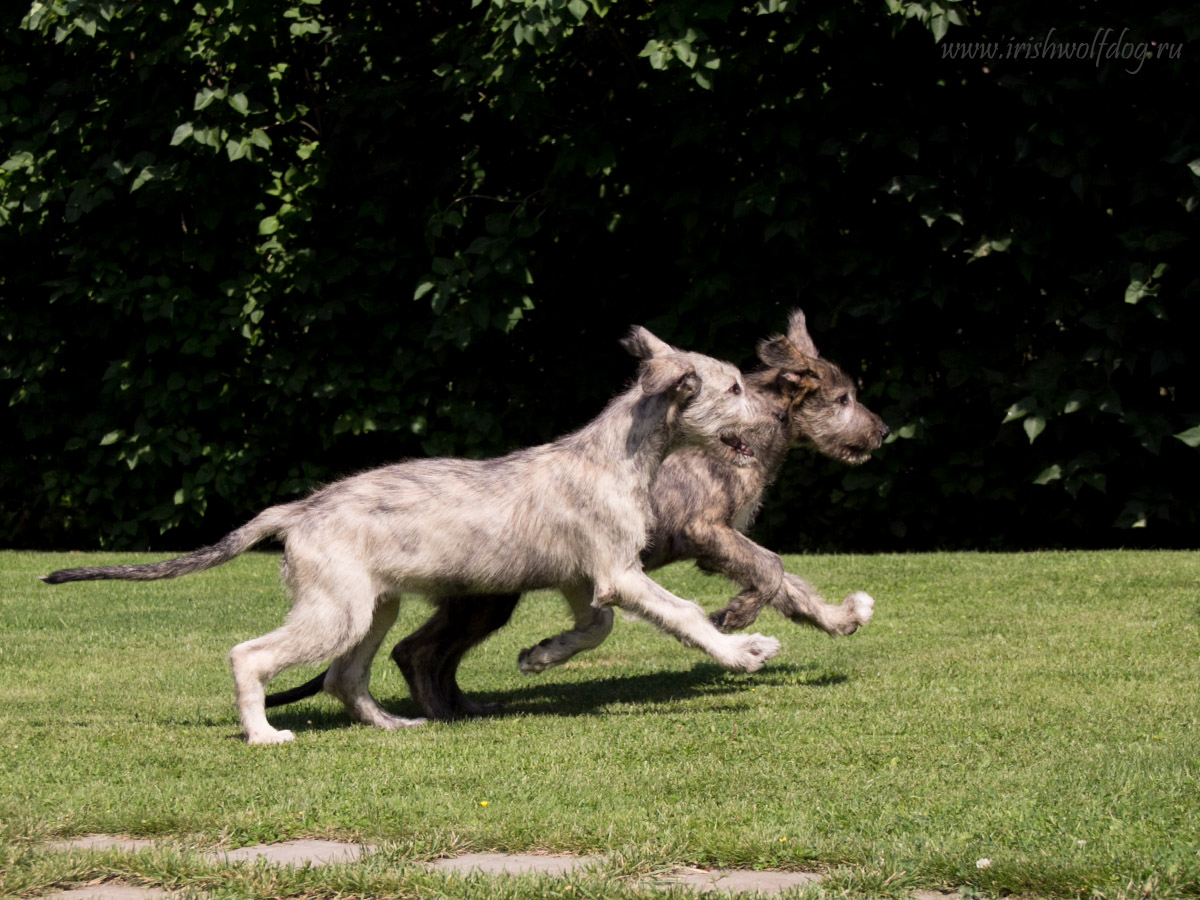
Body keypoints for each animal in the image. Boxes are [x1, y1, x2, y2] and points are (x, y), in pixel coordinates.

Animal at [44, 331, 777, 748]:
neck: (617, 455)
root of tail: (301, 507)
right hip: (336, 613)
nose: (774, 418)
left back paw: (393, 726)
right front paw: (740, 652)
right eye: (735, 386)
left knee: (345, 677)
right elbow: (683, 614)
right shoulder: (618, 574)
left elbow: (594, 628)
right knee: (249, 656)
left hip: (373, 608)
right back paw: (263, 733)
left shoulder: (588, 577)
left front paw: (541, 655)